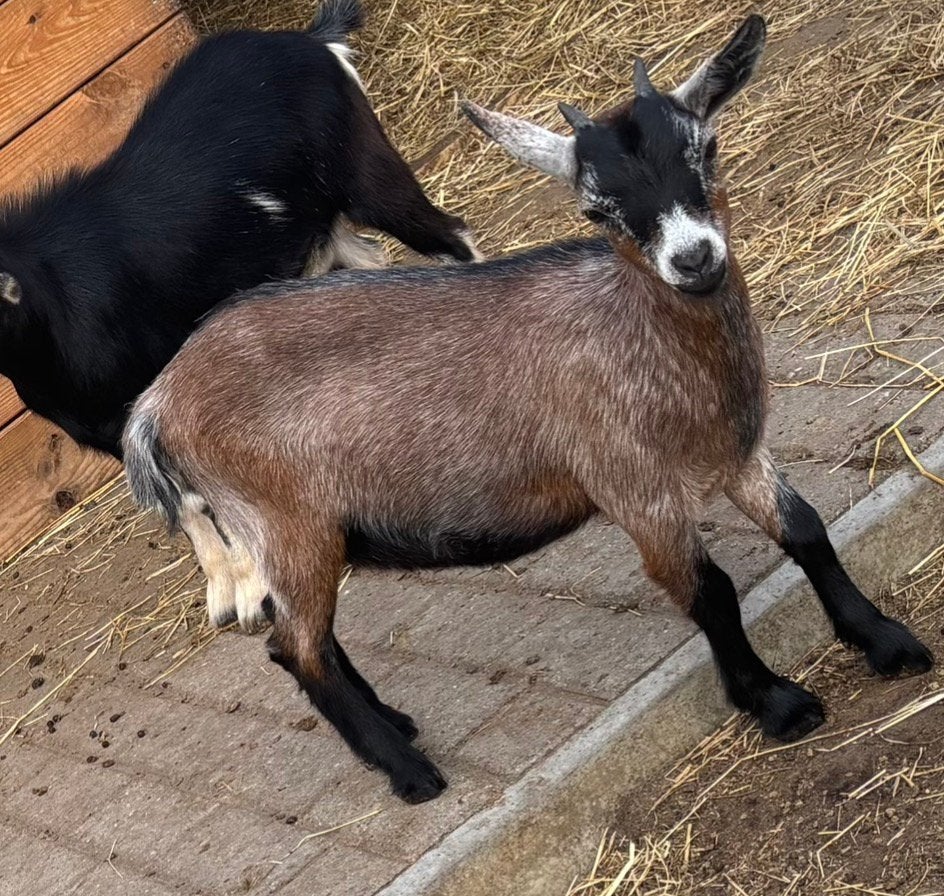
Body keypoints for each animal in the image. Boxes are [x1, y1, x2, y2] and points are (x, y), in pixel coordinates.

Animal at [123, 15, 933, 803]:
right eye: (596, 208)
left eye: (704, 148)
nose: (694, 259)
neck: (643, 340)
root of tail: (156, 402)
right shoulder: (633, 488)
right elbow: (711, 593)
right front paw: (776, 703)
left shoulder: (739, 453)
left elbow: (807, 531)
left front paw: (888, 642)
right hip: (283, 522)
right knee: (297, 649)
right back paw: (411, 775)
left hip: (299, 534)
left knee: (305, 640)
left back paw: (399, 725)